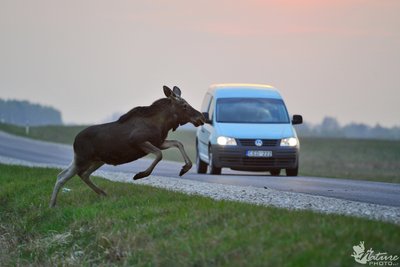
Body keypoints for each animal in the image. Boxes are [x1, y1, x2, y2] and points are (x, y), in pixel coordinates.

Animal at [49, 86, 205, 207]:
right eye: (185, 106)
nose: (202, 117)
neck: (164, 124)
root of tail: (74, 141)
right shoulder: (138, 141)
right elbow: (159, 154)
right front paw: (140, 175)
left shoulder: (159, 142)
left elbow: (178, 143)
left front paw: (185, 168)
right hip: (83, 158)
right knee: (66, 176)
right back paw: (53, 204)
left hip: (96, 160)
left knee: (75, 174)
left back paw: (99, 193)